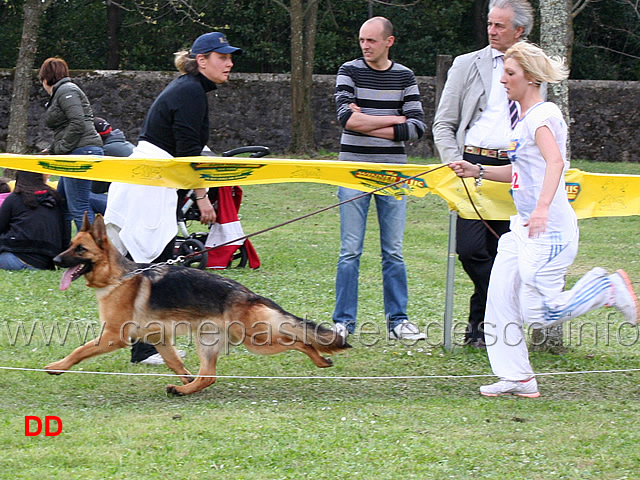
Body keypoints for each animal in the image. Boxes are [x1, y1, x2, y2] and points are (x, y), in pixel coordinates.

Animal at [47, 216, 352, 396]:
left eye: (80, 249)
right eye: (70, 245)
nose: (54, 259)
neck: (117, 276)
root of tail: (248, 294)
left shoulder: (112, 336)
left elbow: (79, 351)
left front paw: (58, 366)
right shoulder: (159, 338)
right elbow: (176, 364)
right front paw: (185, 380)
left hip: (257, 340)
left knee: (299, 341)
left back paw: (319, 359)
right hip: (209, 341)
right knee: (208, 376)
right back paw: (185, 390)